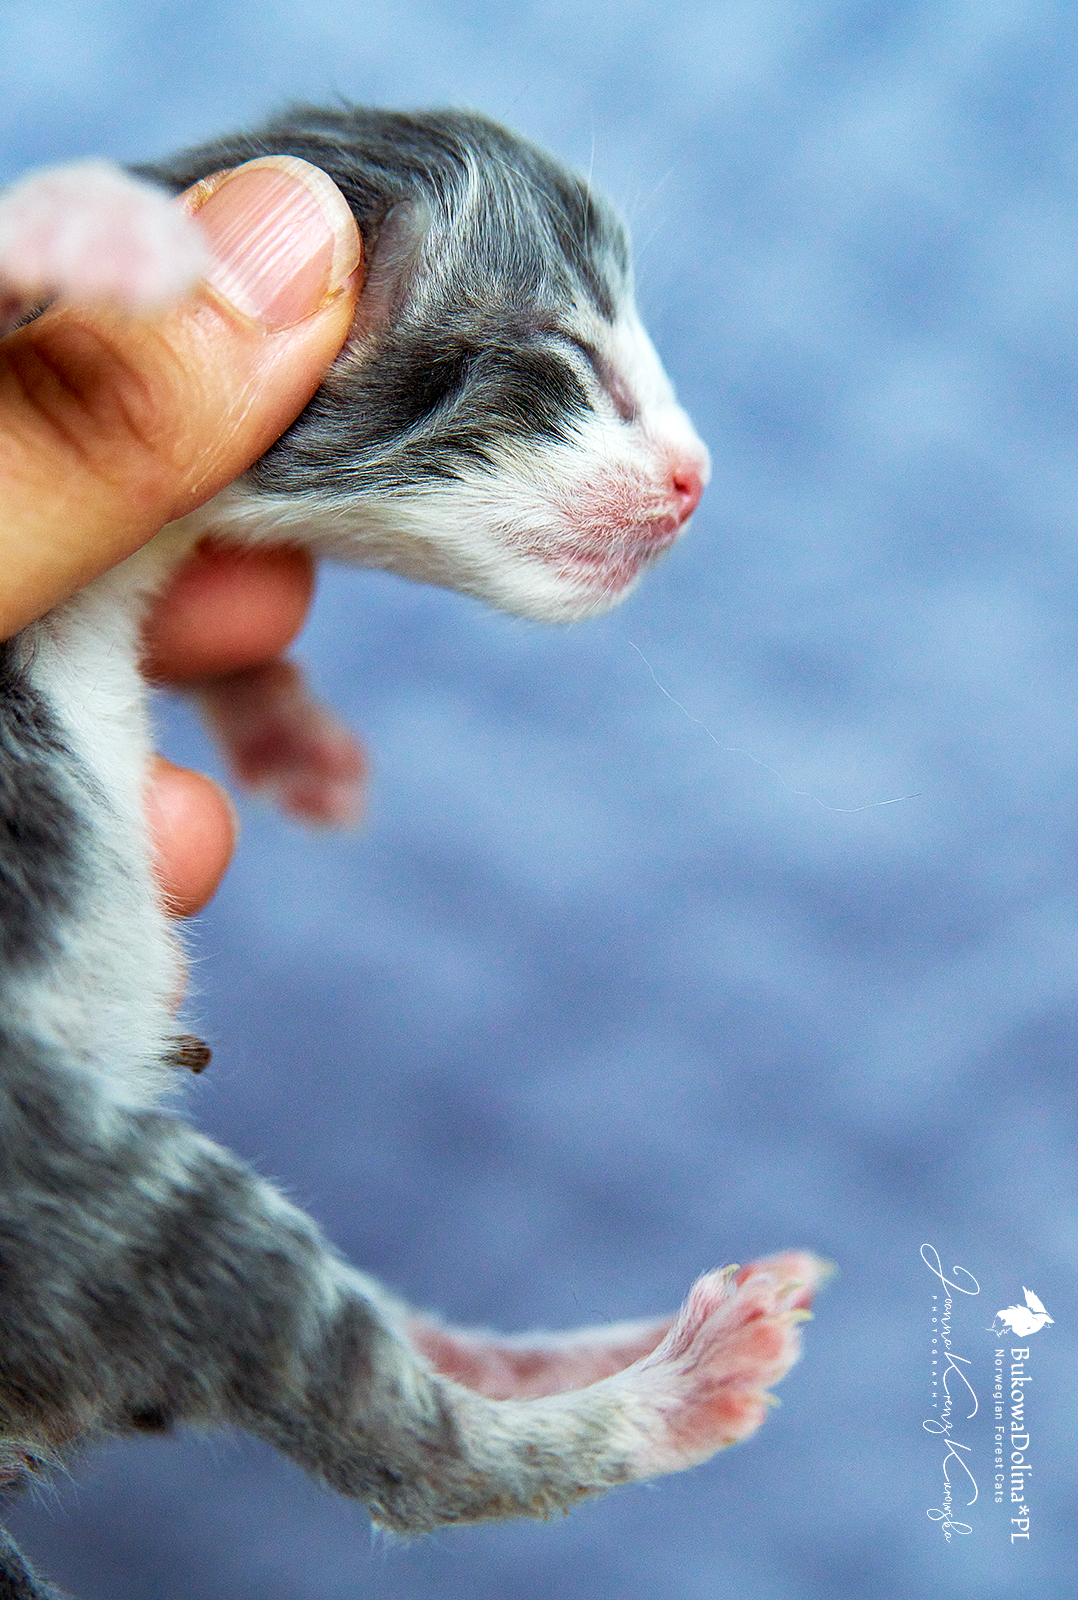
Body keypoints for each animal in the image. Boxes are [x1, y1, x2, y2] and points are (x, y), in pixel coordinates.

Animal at [0, 106, 822, 1599]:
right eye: (567, 361)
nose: (698, 479)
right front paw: (97, 230)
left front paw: (284, 728)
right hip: (68, 1186)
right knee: (402, 1452)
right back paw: (674, 1389)